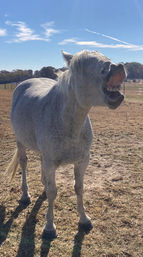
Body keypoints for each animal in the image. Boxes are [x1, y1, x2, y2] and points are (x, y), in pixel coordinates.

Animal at [6, 50, 125, 238]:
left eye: (107, 57)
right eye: (82, 66)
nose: (116, 67)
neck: (69, 125)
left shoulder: (82, 161)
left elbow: (79, 188)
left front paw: (84, 220)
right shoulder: (51, 163)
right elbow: (53, 192)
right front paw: (49, 227)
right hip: (20, 142)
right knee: (24, 163)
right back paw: (25, 195)